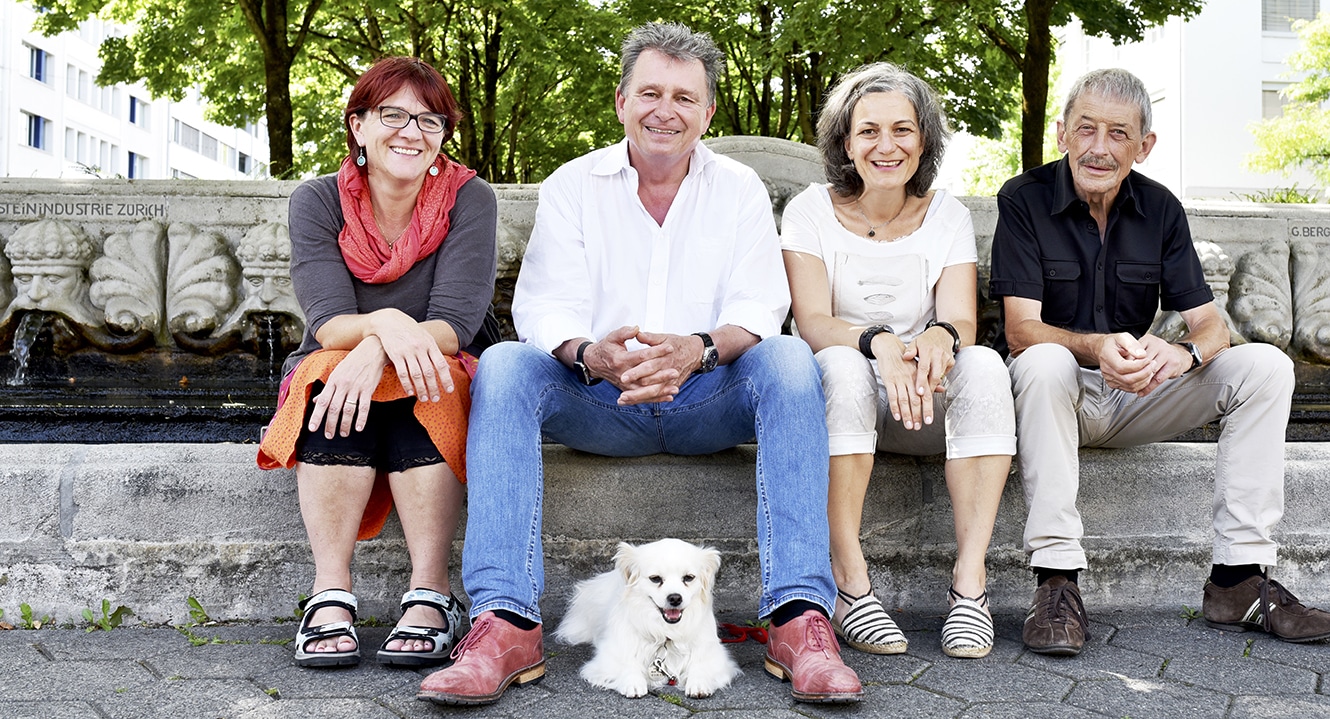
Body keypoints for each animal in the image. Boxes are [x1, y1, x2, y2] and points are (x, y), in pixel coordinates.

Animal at [550, 536, 739, 696]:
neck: (666, 632)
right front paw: (633, 682)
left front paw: (699, 683)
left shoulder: (713, 655)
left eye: (689, 578)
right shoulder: (610, 656)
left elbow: (700, 666)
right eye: (655, 578)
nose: (675, 598)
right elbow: (627, 664)